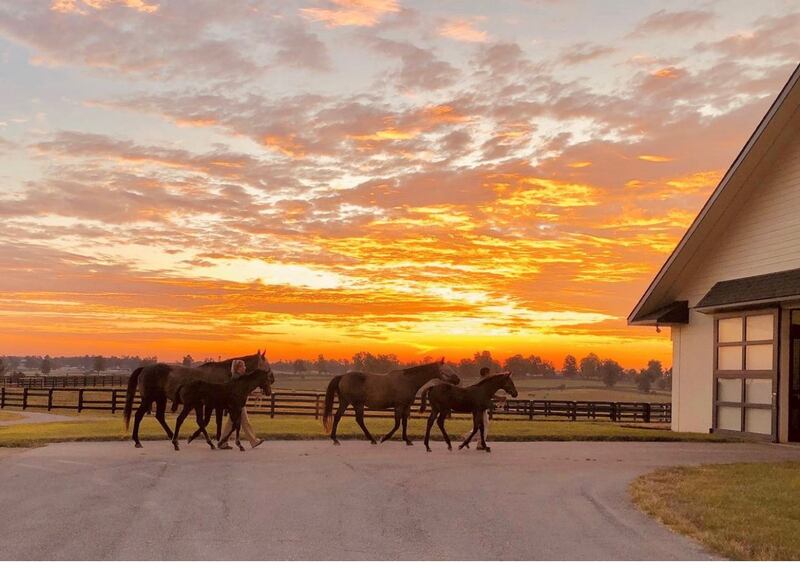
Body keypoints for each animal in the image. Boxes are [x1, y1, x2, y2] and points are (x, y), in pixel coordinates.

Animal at [122, 348, 272, 446]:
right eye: (267, 364)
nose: (272, 378)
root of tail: (144, 368)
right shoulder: (216, 404)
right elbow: (213, 422)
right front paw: (218, 440)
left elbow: (210, 422)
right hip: (149, 399)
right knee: (139, 415)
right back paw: (137, 441)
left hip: (160, 399)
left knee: (160, 416)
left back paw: (171, 436)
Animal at [320, 362, 460, 446]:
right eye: (445, 369)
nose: (457, 379)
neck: (408, 380)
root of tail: (342, 376)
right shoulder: (398, 407)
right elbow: (397, 424)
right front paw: (384, 438)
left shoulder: (406, 407)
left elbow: (404, 423)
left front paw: (407, 440)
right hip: (357, 404)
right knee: (359, 420)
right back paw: (372, 439)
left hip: (345, 402)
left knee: (338, 417)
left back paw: (335, 439)